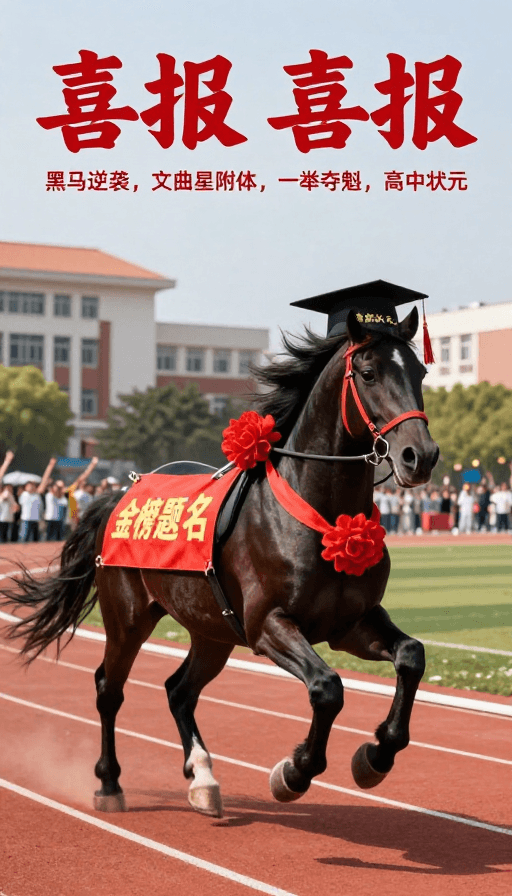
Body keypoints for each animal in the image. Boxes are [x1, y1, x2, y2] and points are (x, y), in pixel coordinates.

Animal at [2, 307, 438, 818]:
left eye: (420, 372)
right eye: (368, 373)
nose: (420, 456)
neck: (318, 514)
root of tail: (121, 492)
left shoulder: (351, 622)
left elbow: (411, 656)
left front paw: (377, 753)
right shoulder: (266, 624)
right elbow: (327, 688)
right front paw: (294, 771)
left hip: (211, 629)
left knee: (179, 690)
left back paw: (203, 777)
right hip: (128, 616)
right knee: (110, 688)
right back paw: (110, 783)